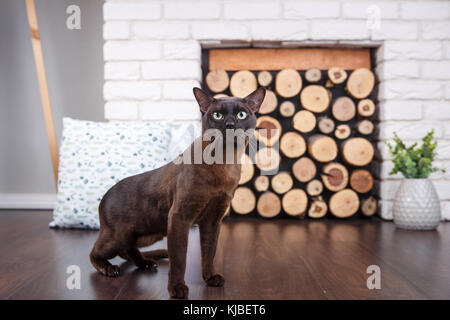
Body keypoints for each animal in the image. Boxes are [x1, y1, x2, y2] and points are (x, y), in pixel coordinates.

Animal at [89, 86, 266, 298]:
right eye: (218, 115)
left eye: (241, 114)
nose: (230, 124)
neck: (226, 163)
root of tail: (104, 197)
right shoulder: (180, 217)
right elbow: (180, 259)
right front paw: (177, 289)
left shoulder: (212, 221)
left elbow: (209, 253)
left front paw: (211, 279)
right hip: (119, 237)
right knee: (96, 253)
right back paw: (110, 269)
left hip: (150, 235)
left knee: (129, 250)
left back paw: (147, 263)